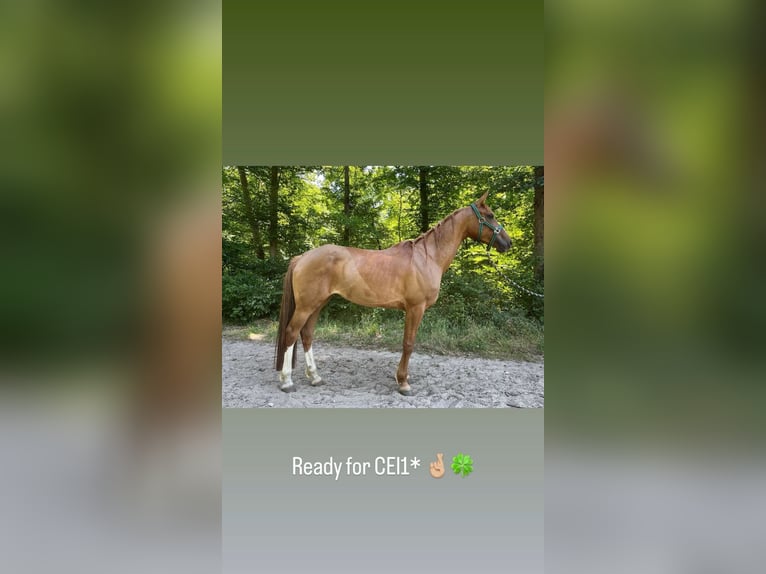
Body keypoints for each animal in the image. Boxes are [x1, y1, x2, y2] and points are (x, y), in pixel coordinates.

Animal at [273, 192, 512, 395]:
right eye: (490, 215)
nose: (508, 242)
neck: (427, 258)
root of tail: (302, 257)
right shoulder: (415, 308)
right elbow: (408, 344)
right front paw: (403, 382)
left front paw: (401, 378)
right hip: (306, 306)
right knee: (291, 333)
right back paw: (287, 382)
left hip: (318, 304)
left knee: (306, 335)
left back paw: (315, 377)